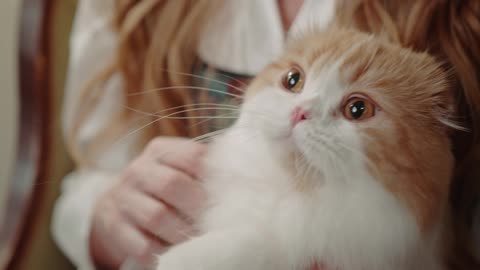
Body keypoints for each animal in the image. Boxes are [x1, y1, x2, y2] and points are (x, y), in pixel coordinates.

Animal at [156, 29, 456, 270]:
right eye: (293, 80)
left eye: (358, 109)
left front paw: (183, 258)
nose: (300, 112)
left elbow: (265, 244)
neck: (292, 190)